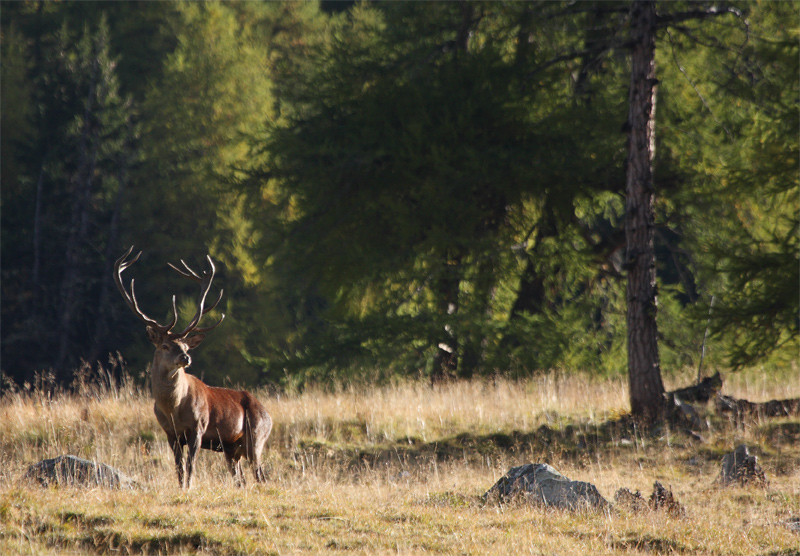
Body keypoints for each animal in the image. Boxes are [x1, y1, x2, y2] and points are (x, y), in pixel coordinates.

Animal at [114, 246, 272, 489]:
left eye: (186, 345)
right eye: (165, 345)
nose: (186, 357)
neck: (173, 409)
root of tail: (268, 414)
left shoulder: (198, 427)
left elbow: (190, 466)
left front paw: (189, 488)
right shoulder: (170, 433)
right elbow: (178, 468)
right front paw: (181, 487)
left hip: (256, 436)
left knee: (260, 474)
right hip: (232, 449)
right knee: (241, 479)